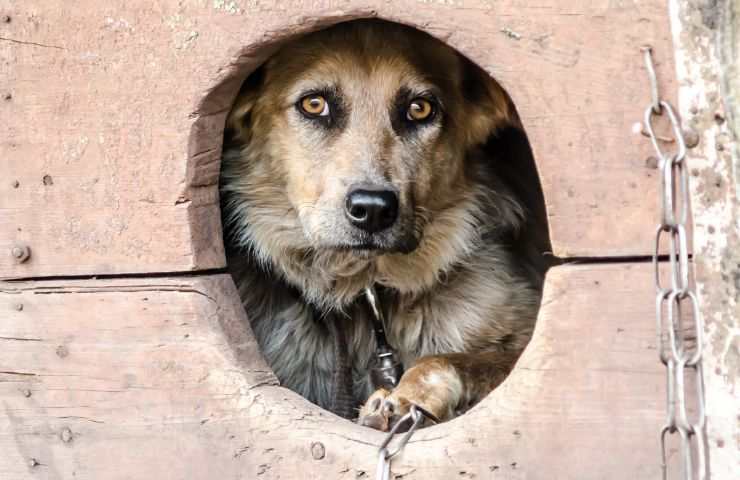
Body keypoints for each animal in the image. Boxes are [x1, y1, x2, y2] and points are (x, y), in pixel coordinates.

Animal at [217, 19, 548, 432]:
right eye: (314, 104)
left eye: (420, 109)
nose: (372, 209)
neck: (367, 293)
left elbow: (447, 361)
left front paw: (404, 399)